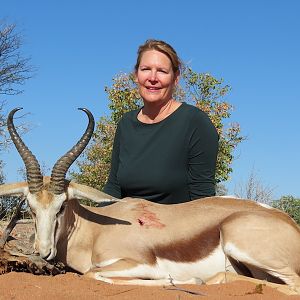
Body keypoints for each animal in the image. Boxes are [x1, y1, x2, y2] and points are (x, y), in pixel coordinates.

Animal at [0, 108, 300, 296]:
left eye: (61, 206)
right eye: (30, 208)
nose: (43, 252)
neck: (95, 231)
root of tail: (291, 225)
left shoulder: (141, 263)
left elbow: (94, 274)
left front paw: (181, 279)